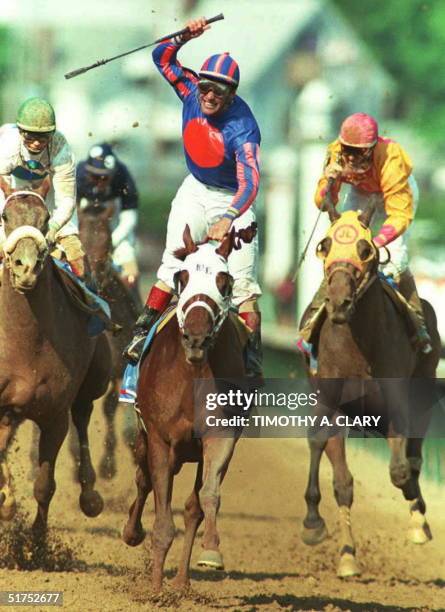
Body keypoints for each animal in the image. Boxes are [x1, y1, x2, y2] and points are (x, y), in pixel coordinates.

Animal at [0, 191, 110, 532]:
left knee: (84, 415)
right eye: (5, 216)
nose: (26, 268)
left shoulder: (55, 416)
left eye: (46, 218)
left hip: (96, 380)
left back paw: (90, 496)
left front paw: (37, 540)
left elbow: (44, 485)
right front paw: (6, 500)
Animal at [122, 226, 253, 592]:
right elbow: (162, 516)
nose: (195, 338)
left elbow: (206, 497)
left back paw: (181, 582)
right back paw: (132, 533)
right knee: (142, 479)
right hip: (147, 439)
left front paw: (211, 551)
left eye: (224, 280)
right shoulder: (160, 439)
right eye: (182, 277)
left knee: (192, 506)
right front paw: (155, 589)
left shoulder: (220, 436)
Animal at [298, 202, 440, 580]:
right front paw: (340, 549)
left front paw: (418, 518)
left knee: (414, 457)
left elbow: (401, 470)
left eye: (365, 250)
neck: (357, 345)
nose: (338, 303)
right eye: (324, 245)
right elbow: (341, 481)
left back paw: (418, 516)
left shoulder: (397, 405)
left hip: (425, 392)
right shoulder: (332, 406)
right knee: (330, 462)